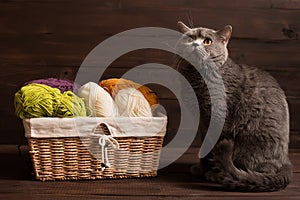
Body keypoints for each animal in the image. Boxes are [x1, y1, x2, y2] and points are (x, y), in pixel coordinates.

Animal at [175, 21, 292, 191]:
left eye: (207, 41)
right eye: (190, 38)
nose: (195, 44)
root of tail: (286, 161)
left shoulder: (220, 120)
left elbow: (212, 147)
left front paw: (212, 173)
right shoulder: (203, 123)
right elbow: (204, 149)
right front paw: (201, 169)